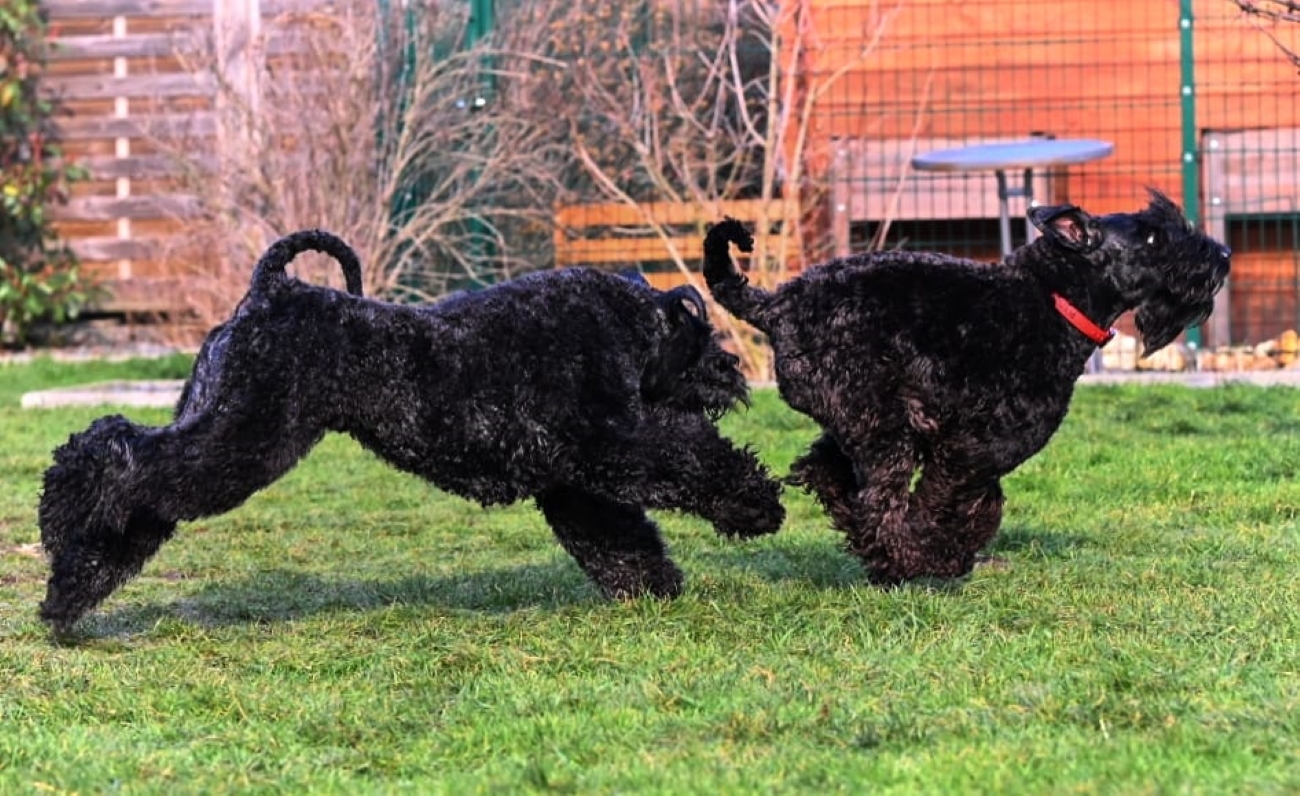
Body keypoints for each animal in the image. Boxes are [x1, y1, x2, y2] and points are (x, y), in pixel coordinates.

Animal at [38, 230, 780, 634]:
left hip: (215, 422)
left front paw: (655, 591)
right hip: (239, 441)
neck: (615, 322)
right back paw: (59, 525)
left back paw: (69, 590)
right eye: (702, 334)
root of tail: (269, 292)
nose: (733, 370)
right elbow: (688, 456)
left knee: (134, 481)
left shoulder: (574, 482)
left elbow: (619, 537)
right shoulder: (607, 444)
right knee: (115, 455)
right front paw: (758, 503)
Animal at [707, 188, 1222, 582]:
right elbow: (944, 501)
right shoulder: (972, 448)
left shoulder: (969, 449)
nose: (1221, 255)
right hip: (882, 429)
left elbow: (980, 503)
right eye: (1153, 236)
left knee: (827, 473)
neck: (1054, 298)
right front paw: (943, 554)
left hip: (860, 420)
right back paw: (909, 563)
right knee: (878, 502)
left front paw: (958, 550)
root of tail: (776, 304)